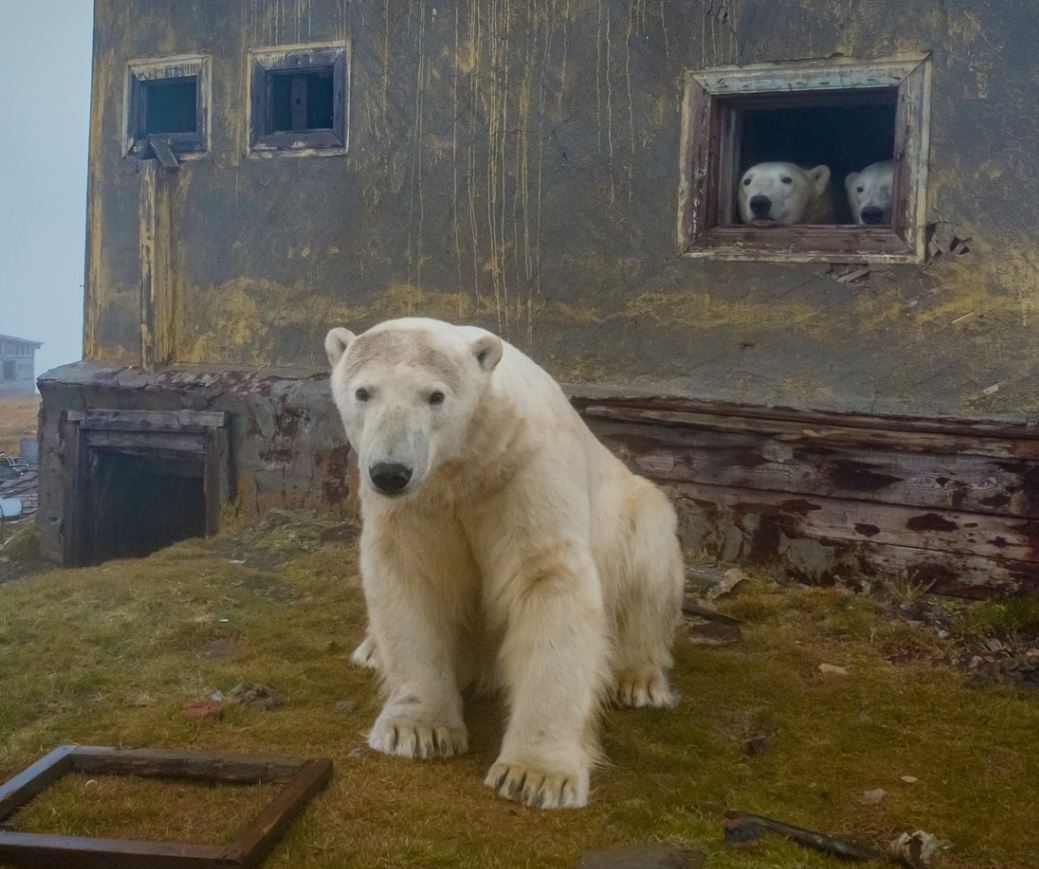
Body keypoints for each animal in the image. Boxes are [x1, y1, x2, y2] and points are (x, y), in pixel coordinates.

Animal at [324, 318, 681, 806]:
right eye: (363, 392)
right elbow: (412, 578)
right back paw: (371, 651)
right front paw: (417, 731)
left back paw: (639, 679)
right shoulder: (418, 505)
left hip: (634, 513)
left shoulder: (523, 472)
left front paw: (536, 775)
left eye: (435, 396)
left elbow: (546, 580)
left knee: (649, 568)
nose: (391, 472)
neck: (465, 464)